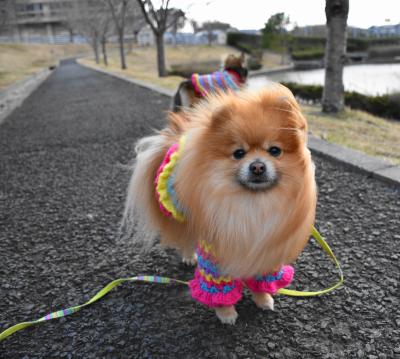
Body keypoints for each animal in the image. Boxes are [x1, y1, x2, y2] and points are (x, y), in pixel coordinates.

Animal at [123, 85, 318, 326]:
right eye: (238, 153)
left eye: (275, 150)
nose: (257, 166)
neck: (251, 203)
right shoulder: (215, 253)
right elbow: (218, 287)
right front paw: (225, 312)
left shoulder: (265, 247)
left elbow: (260, 279)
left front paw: (263, 298)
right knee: (187, 237)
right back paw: (189, 256)